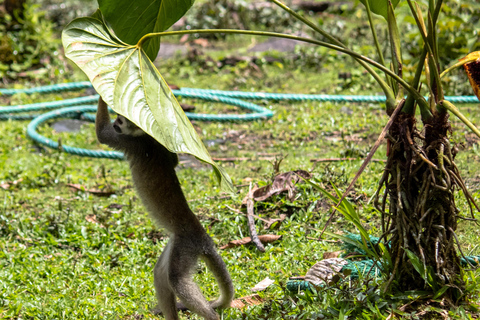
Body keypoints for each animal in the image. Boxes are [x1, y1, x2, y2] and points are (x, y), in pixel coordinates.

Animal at [94, 98, 233, 320]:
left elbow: (102, 135)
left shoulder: (131, 142)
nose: (115, 123)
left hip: (186, 246)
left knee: (177, 281)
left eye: (121, 120)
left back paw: (212, 316)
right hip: (178, 243)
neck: (144, 135)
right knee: (161, 275)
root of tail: (203, 236)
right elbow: (173, 160)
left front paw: (101, 96)